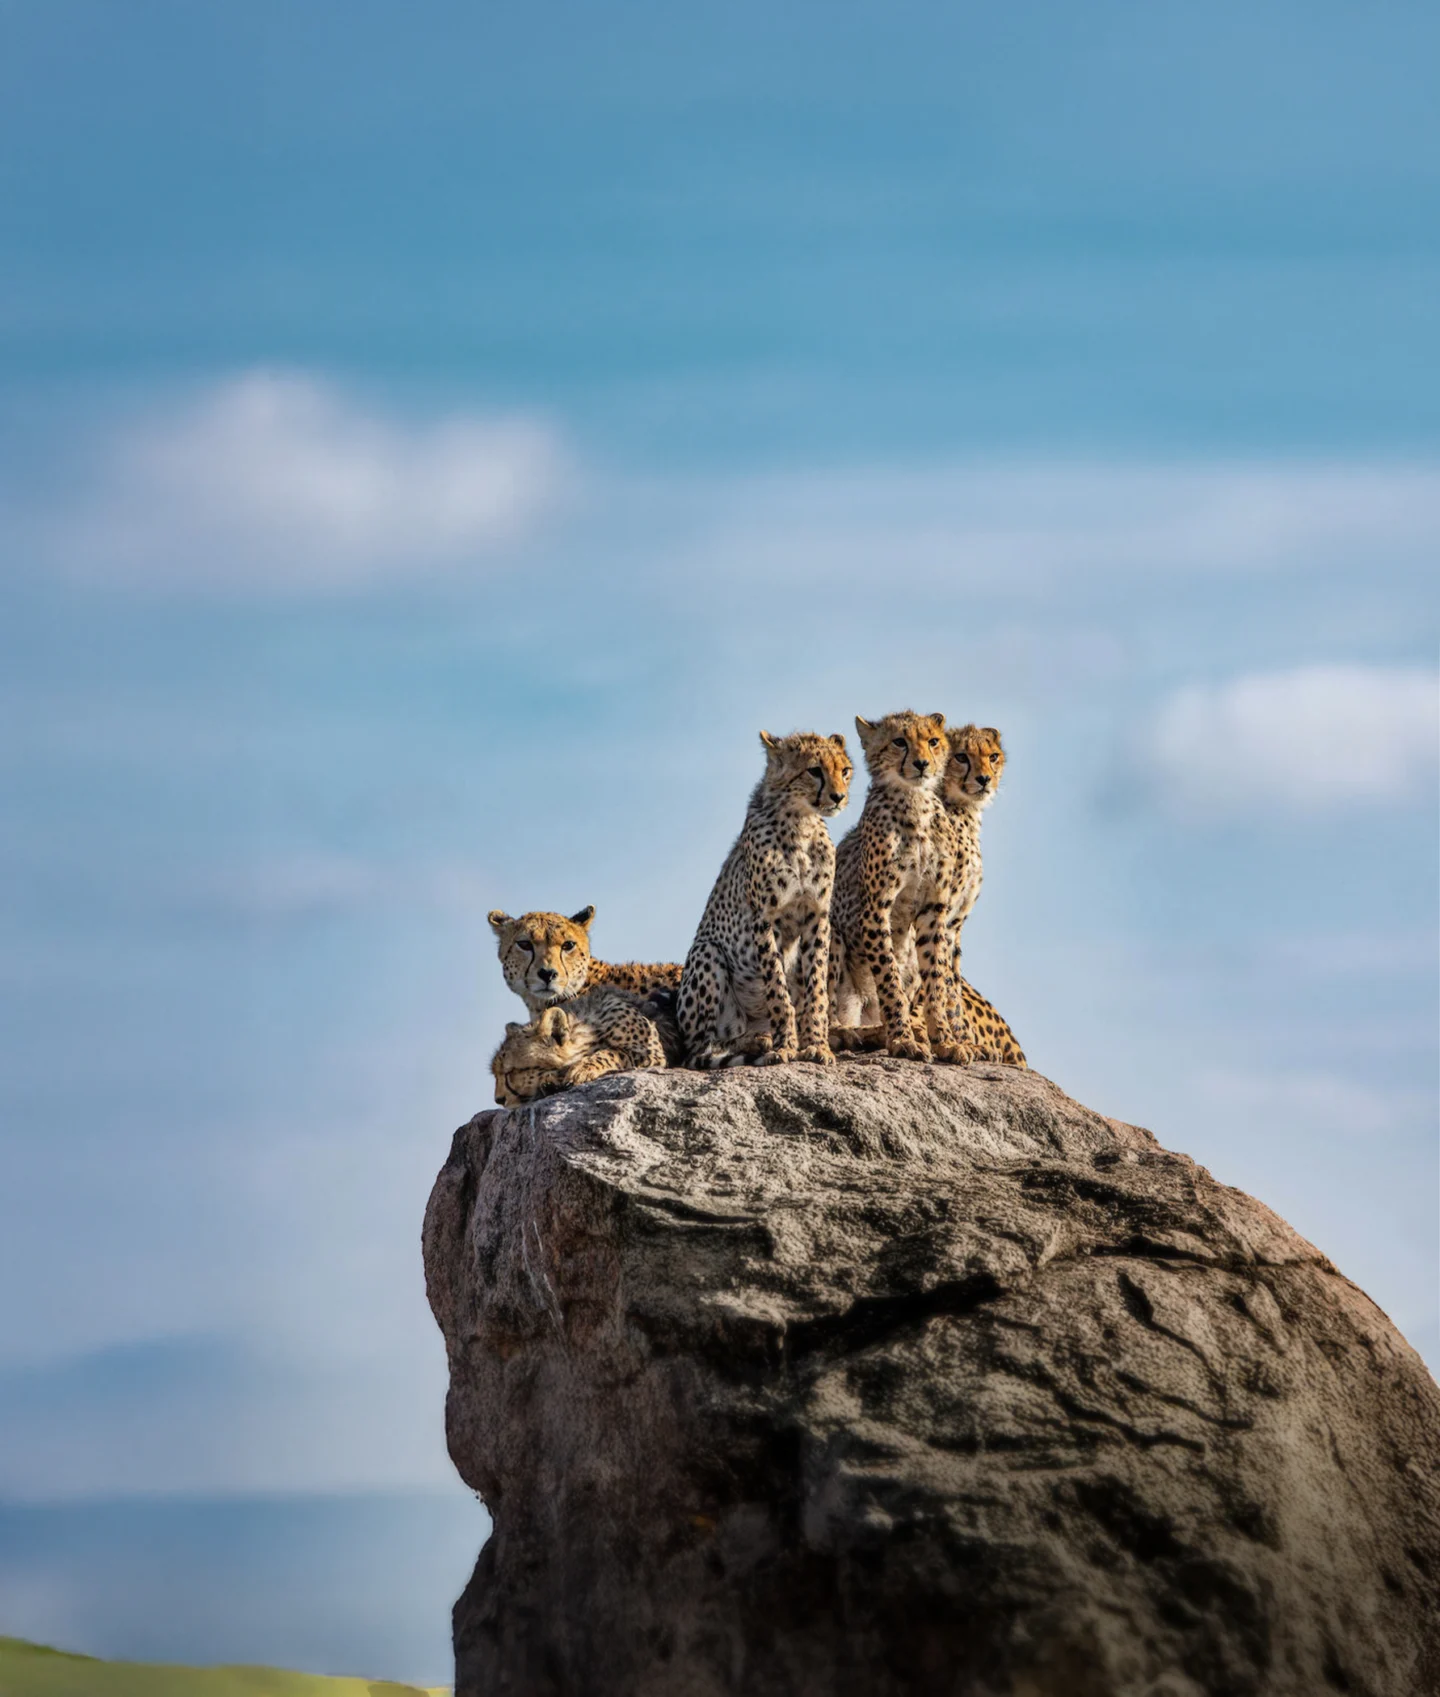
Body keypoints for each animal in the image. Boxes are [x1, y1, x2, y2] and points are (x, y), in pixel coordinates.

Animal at [490, 984, 683, 1106]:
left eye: (510, 1072)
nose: (499, 1100)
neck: (591, 1027)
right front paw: (550, 1082)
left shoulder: (652, 1053)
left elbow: (614, 1051)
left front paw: (582, 1069)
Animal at [677, 729, 852, 1069]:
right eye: (814, 771)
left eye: (845, 770)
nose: (839, 797)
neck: (801, 823)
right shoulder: (765, 919)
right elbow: (777, 989)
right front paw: (785, 1047)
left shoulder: (817, 917)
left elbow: (816, 988)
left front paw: (817, 1045)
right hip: (707, 952)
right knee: (702, 1048)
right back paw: (757, 1041)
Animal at [827, 710, 967, 1064]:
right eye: (899, 742)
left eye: (933, 741)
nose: (922, 763)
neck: (915, 801)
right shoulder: (876, 910)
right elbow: (890, 980)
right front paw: (902, 1039)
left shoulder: (933, 911)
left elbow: (935, 982)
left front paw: (944, 1040)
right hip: (830, 933)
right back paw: (848, 1034)